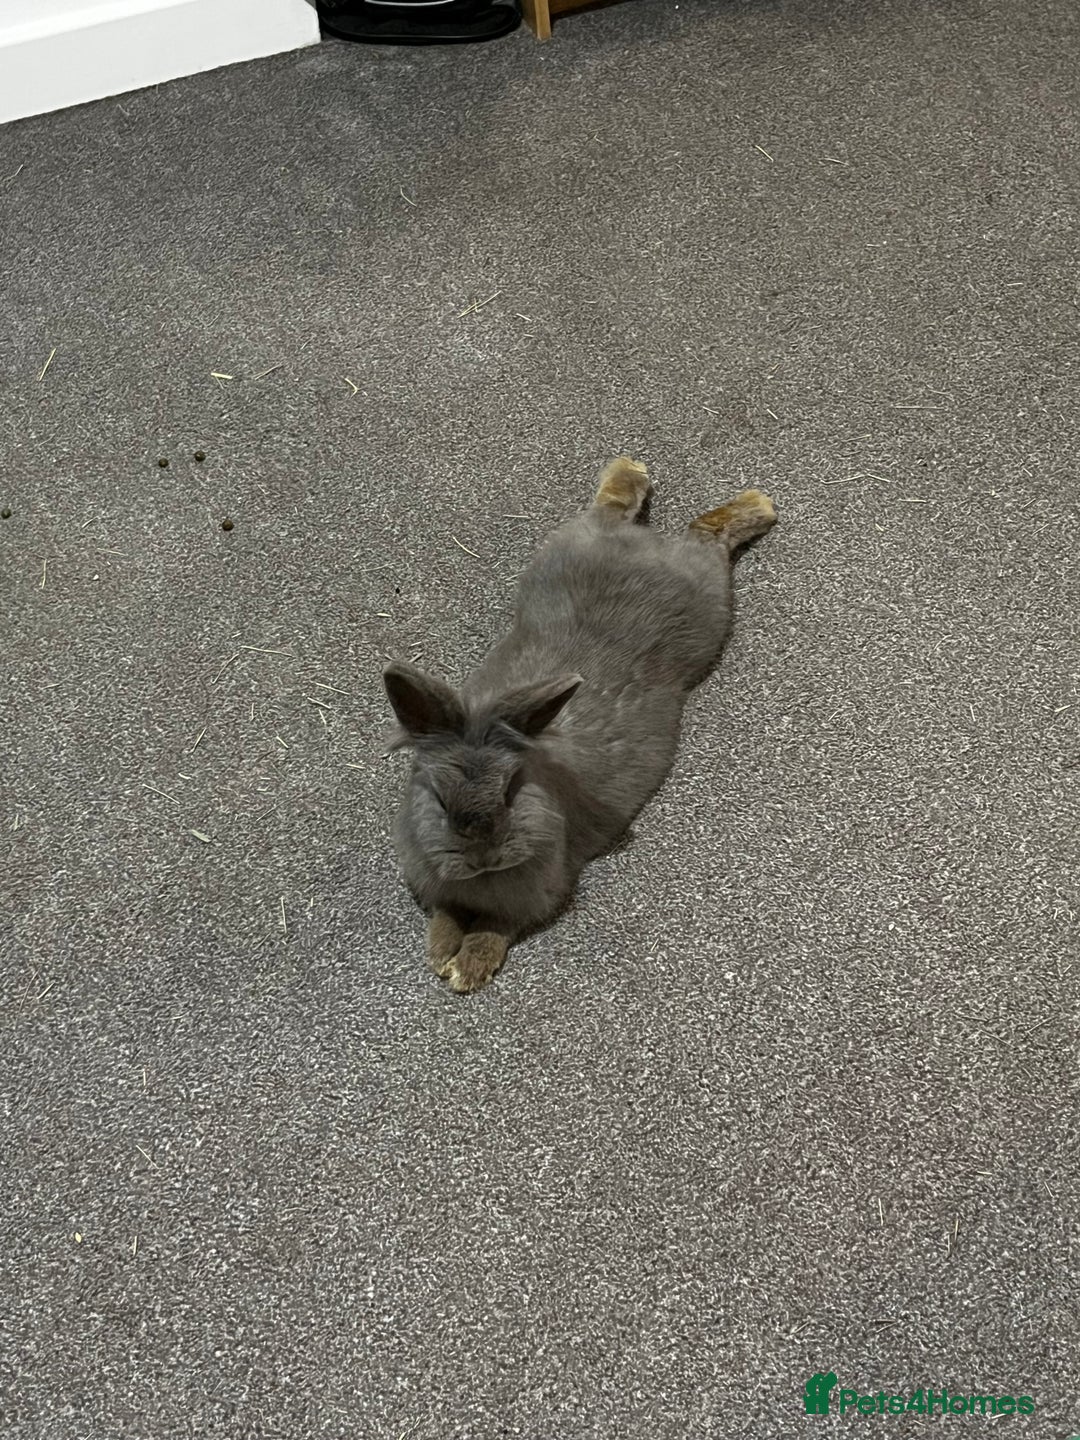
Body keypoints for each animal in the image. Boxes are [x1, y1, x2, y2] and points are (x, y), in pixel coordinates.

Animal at [383, 456, 776, 993]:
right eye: (440, 802)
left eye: (511, 791)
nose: (484, 857)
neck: (482, 882)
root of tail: (647, 543)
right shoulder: (440, 884)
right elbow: (445, 917)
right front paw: (442, 955)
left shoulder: (537, 896)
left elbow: (494, 929)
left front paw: (467, 969)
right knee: (617, 509)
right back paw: (630, 472)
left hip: (705, 592)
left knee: (706, 533)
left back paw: (758, 505)